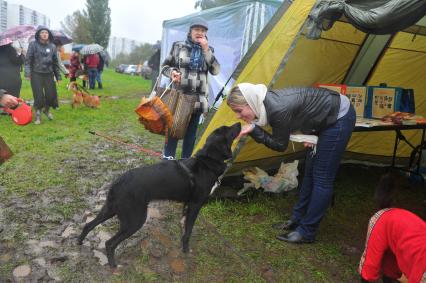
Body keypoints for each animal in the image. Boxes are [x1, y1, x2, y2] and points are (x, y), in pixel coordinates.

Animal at [78, 122, 241, 268]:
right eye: (227, 129)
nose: (240, 123)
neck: (206, 162)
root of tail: (118, 181)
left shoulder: (187, 204)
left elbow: (183, 226)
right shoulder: (195, 205)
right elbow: (188, 231)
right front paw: (186, 249)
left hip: (110, 210)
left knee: (88, 225)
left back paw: (79, 242)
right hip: (134, 220)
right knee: (109, 243)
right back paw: (113, 264)